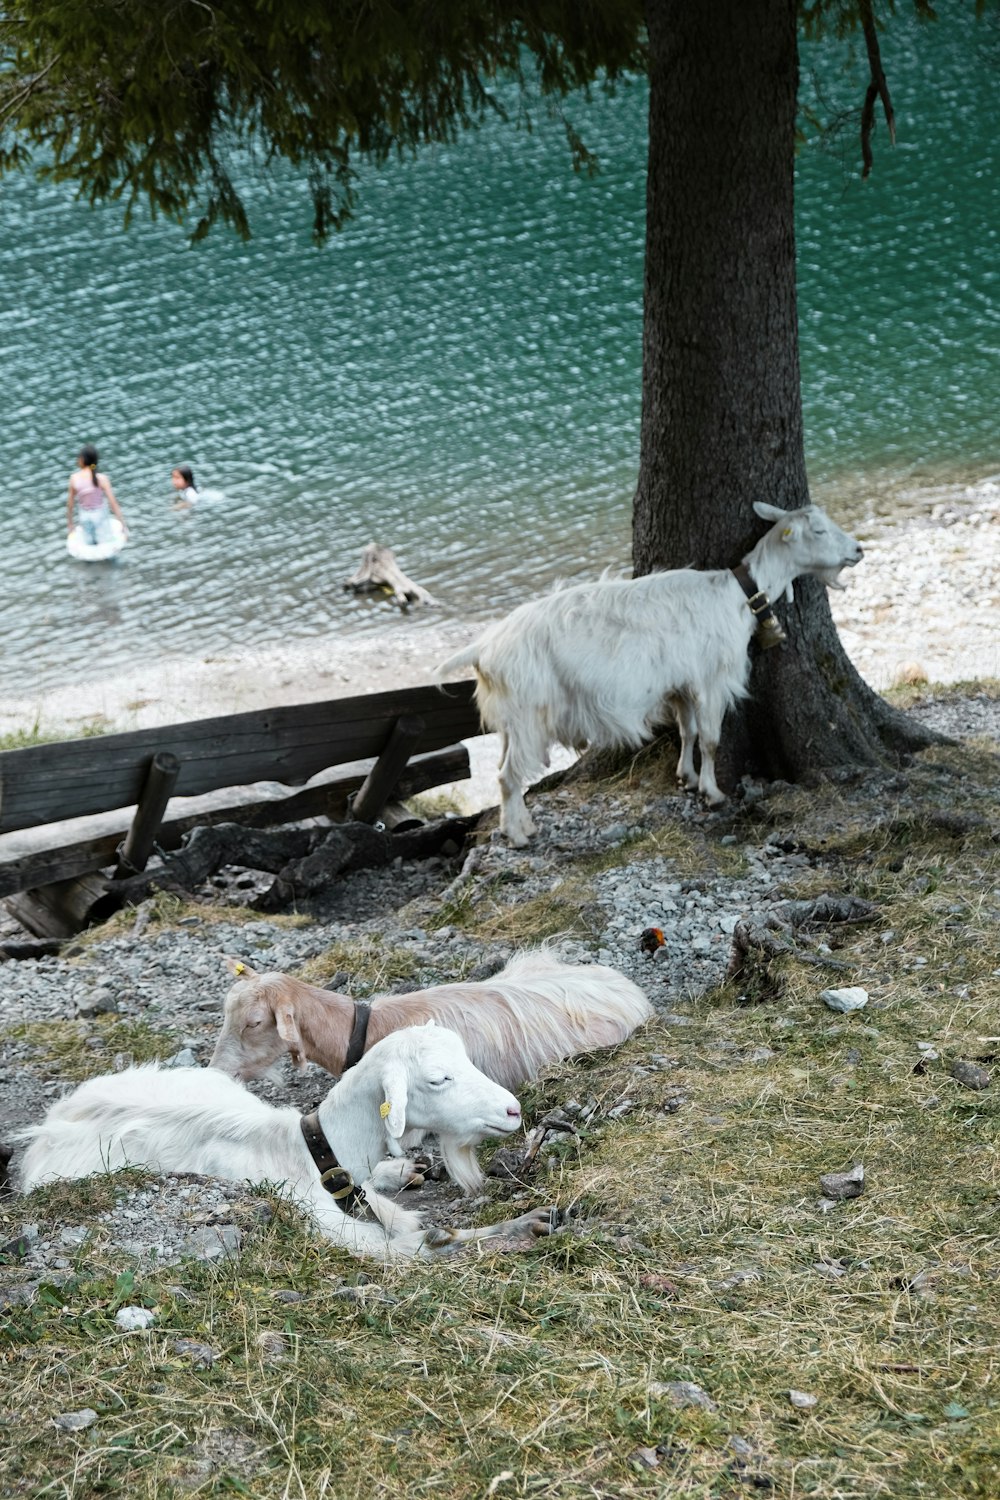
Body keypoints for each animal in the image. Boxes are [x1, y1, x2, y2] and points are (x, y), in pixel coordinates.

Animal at [17, 1020, 554, 1254]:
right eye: (438, 1079)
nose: (513, 1109)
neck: (313, 1153)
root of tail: (56, 1115)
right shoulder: (322, 1222)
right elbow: (414, 1242)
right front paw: (520, 1226)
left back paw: (403, 1168)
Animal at [437, 504, 869, 846]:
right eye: (818, 530)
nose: (858, 549)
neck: (736, 595)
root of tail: (484, 648)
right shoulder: (711, 680)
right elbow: (711, 739)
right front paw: (713, 793)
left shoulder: (681, 685)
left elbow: (687, 732)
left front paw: (687, 778)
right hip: (528, 712)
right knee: (508, 777)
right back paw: (518, 836)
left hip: (513, 720)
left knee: (504, 770)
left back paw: (522, 825)